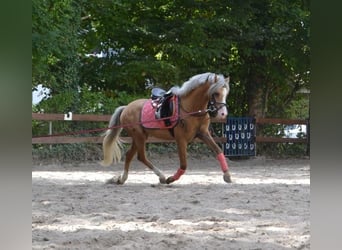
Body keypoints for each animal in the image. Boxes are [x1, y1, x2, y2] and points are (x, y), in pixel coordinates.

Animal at [100, 71, 231, 185]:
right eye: (216, 93)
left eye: (226, 94)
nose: (223, 114)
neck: (190, 108)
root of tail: (126, 108)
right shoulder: (181, 139)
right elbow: (184, 164)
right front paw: (171, 179)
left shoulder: (203, 134)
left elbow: (218, 151)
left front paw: (227, 175)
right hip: (139, 136)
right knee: (141, 157)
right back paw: (162, 177)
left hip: (139, 137)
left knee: (129, 155)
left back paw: (122, 179)